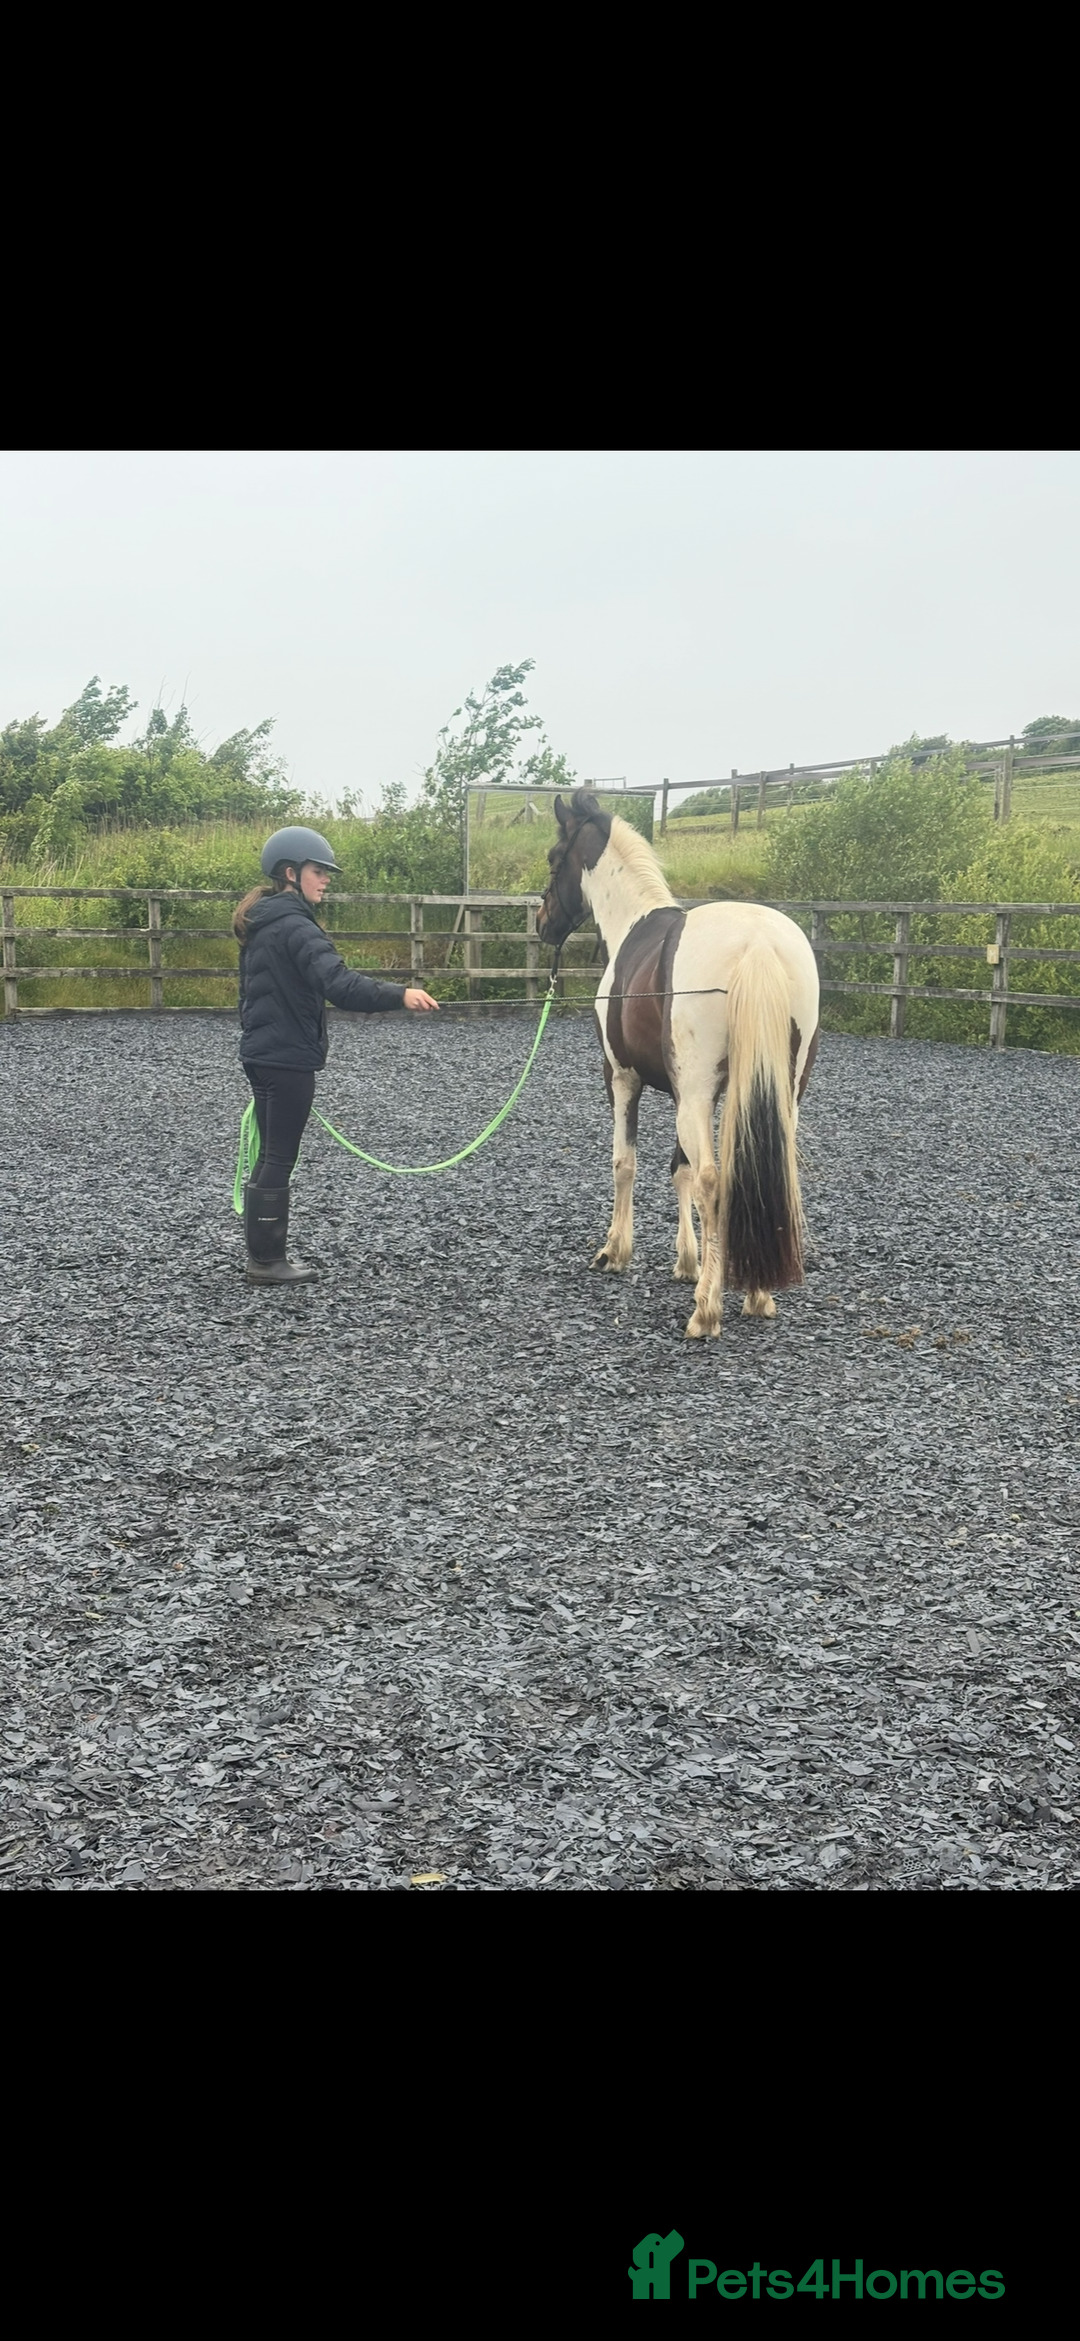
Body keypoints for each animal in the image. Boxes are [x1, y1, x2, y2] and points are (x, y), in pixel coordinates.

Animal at [537, 789, 820, 1339]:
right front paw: (687, 1262)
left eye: (553, 858)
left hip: (692, 1096)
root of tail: (758, 943)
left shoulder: (623, 1079)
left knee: (714, 1181)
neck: (632, 923)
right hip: (777, 1095)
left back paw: (707, 1310)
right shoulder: (685, 1091)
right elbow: (679, 1169)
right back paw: (758, 1295)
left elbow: (627, 1163)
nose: (542, 924)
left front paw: (615, 1251)